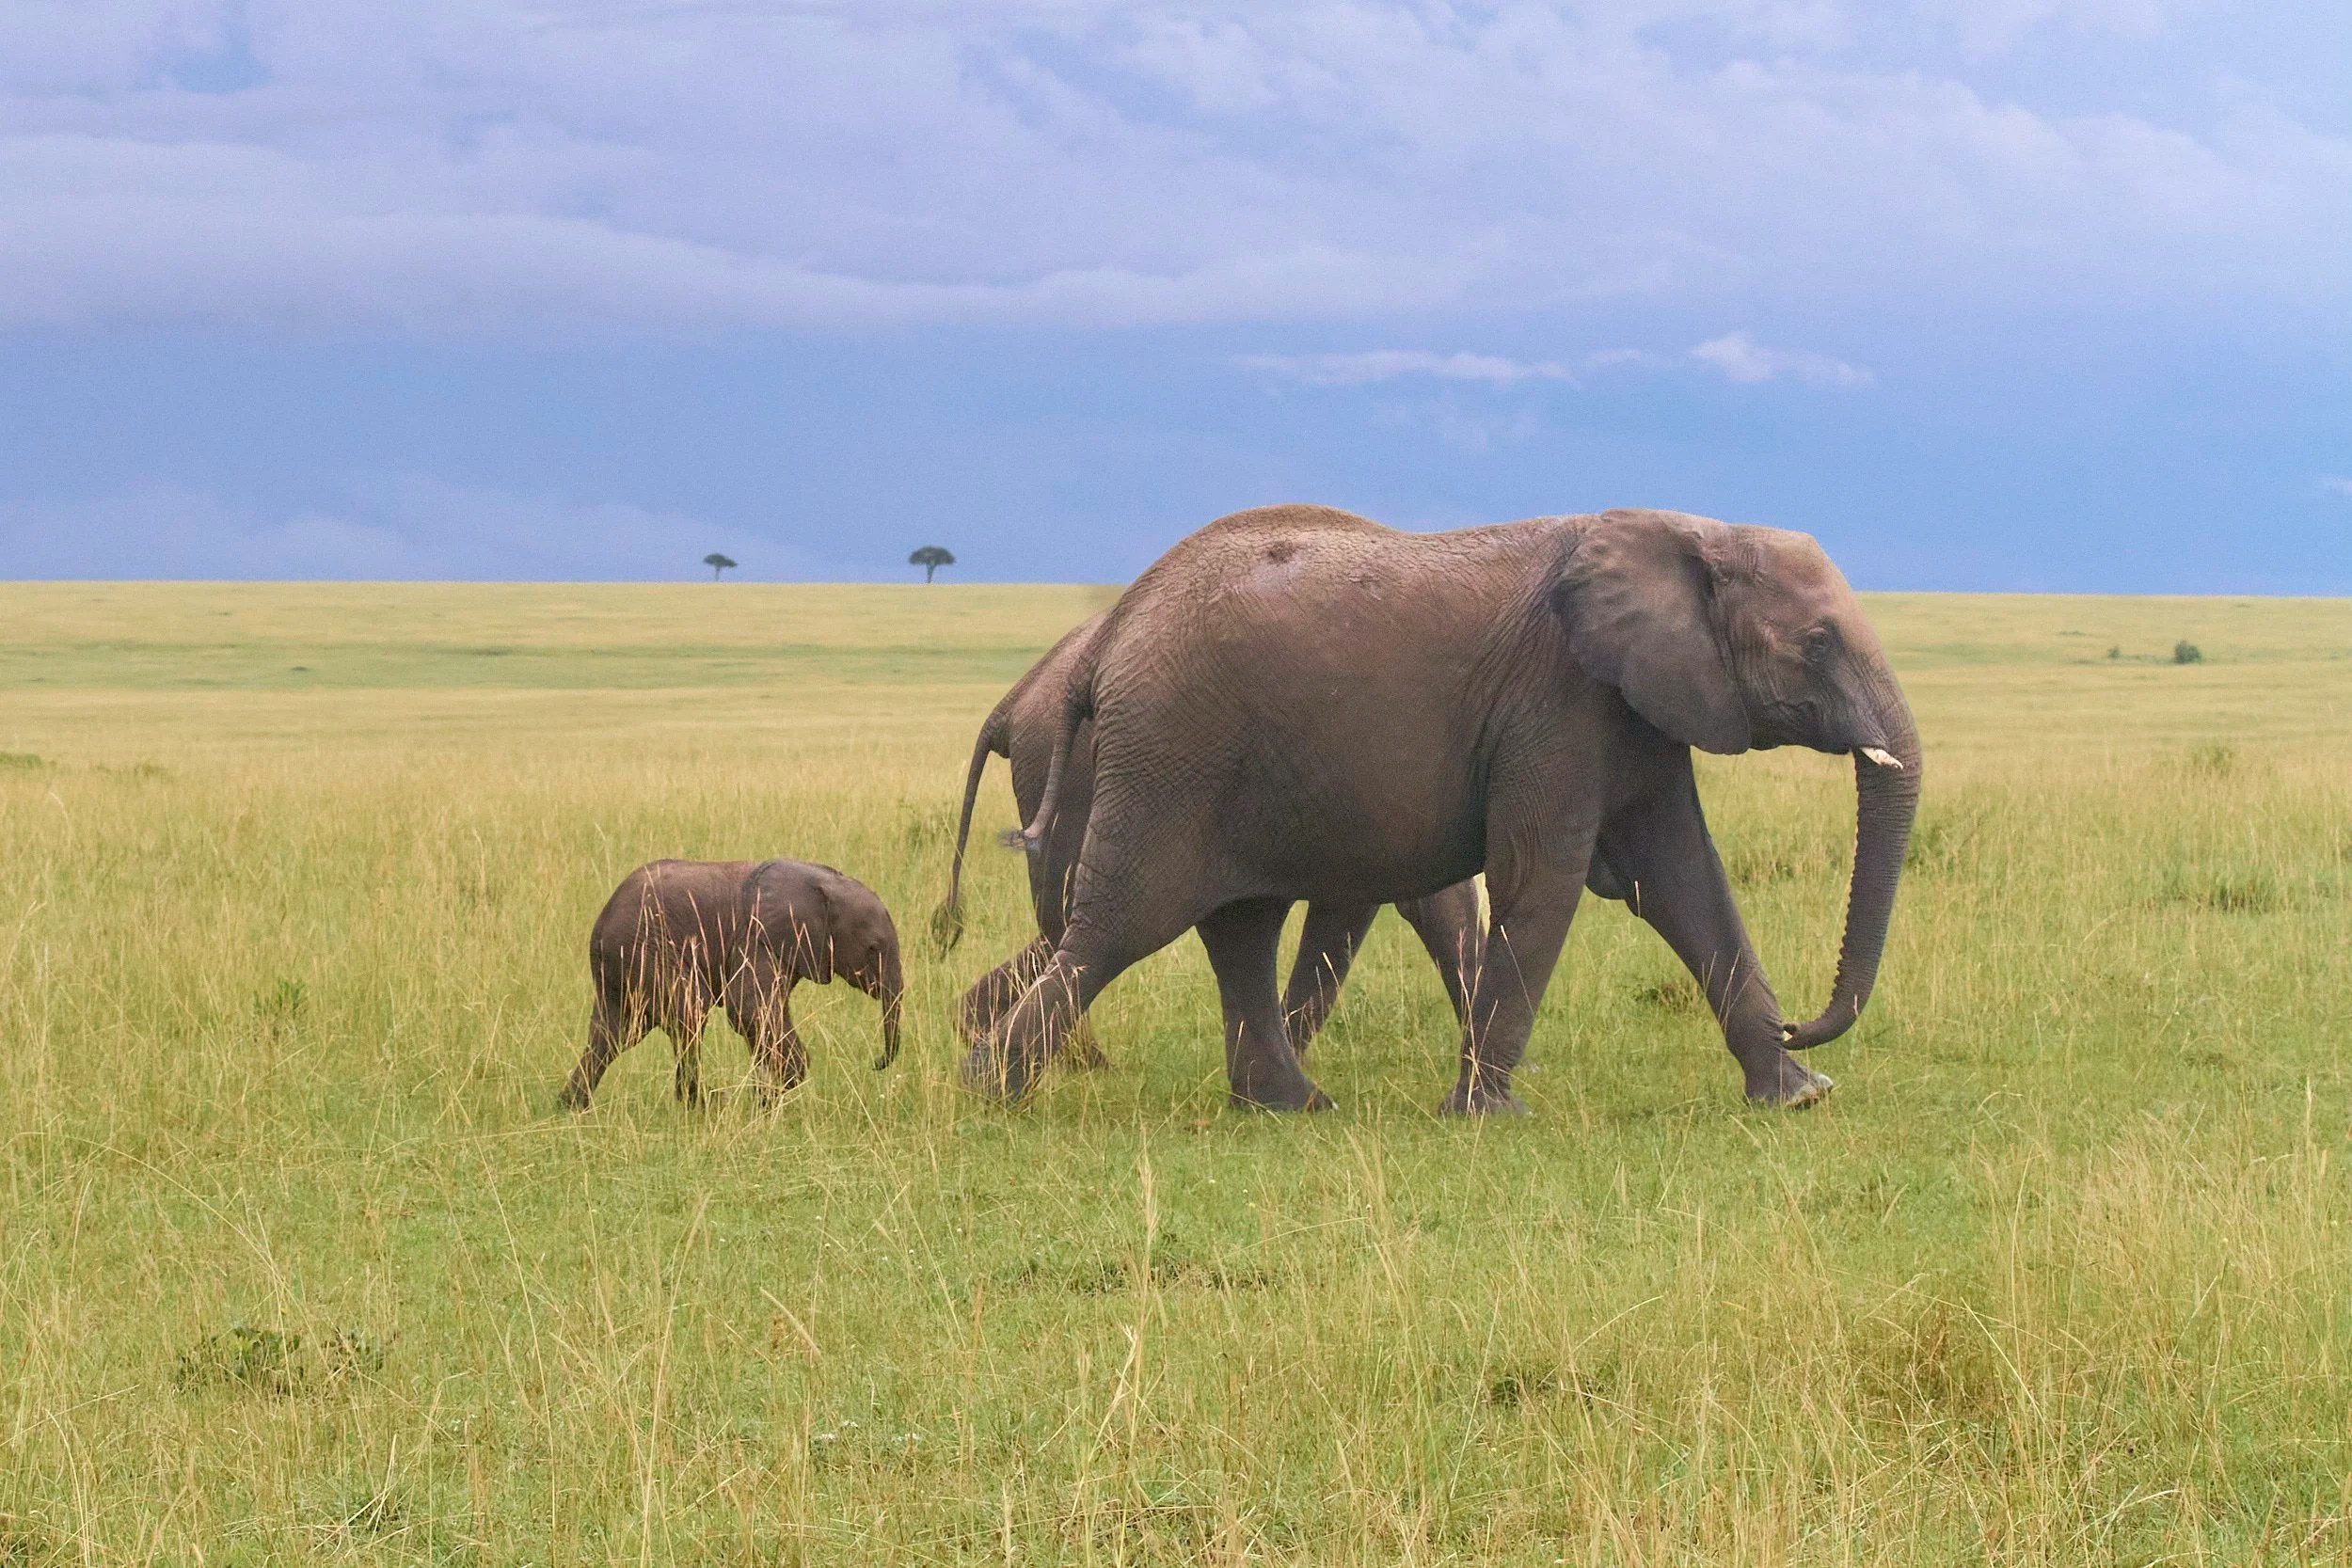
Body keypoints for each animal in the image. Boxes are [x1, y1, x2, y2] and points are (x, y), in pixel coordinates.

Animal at [560, 858, 903, 1110]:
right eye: (872, 948)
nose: (876, 1062)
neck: (822, 884)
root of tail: (600, 925)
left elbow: (763, 1015)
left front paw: (764, 1093)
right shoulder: (756, 937)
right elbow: (749, 1010)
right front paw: (769, 1095)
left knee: (615, 1033)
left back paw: (572, 1105)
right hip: (645, 951)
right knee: (688, 1015)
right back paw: (707, 1104)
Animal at [933, 611, 1486, 1065]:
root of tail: (1014, 701)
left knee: (1066, 922)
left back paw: (991, 1031)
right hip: (1071, 773)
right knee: (1073, 915)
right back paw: (1075, 1058)